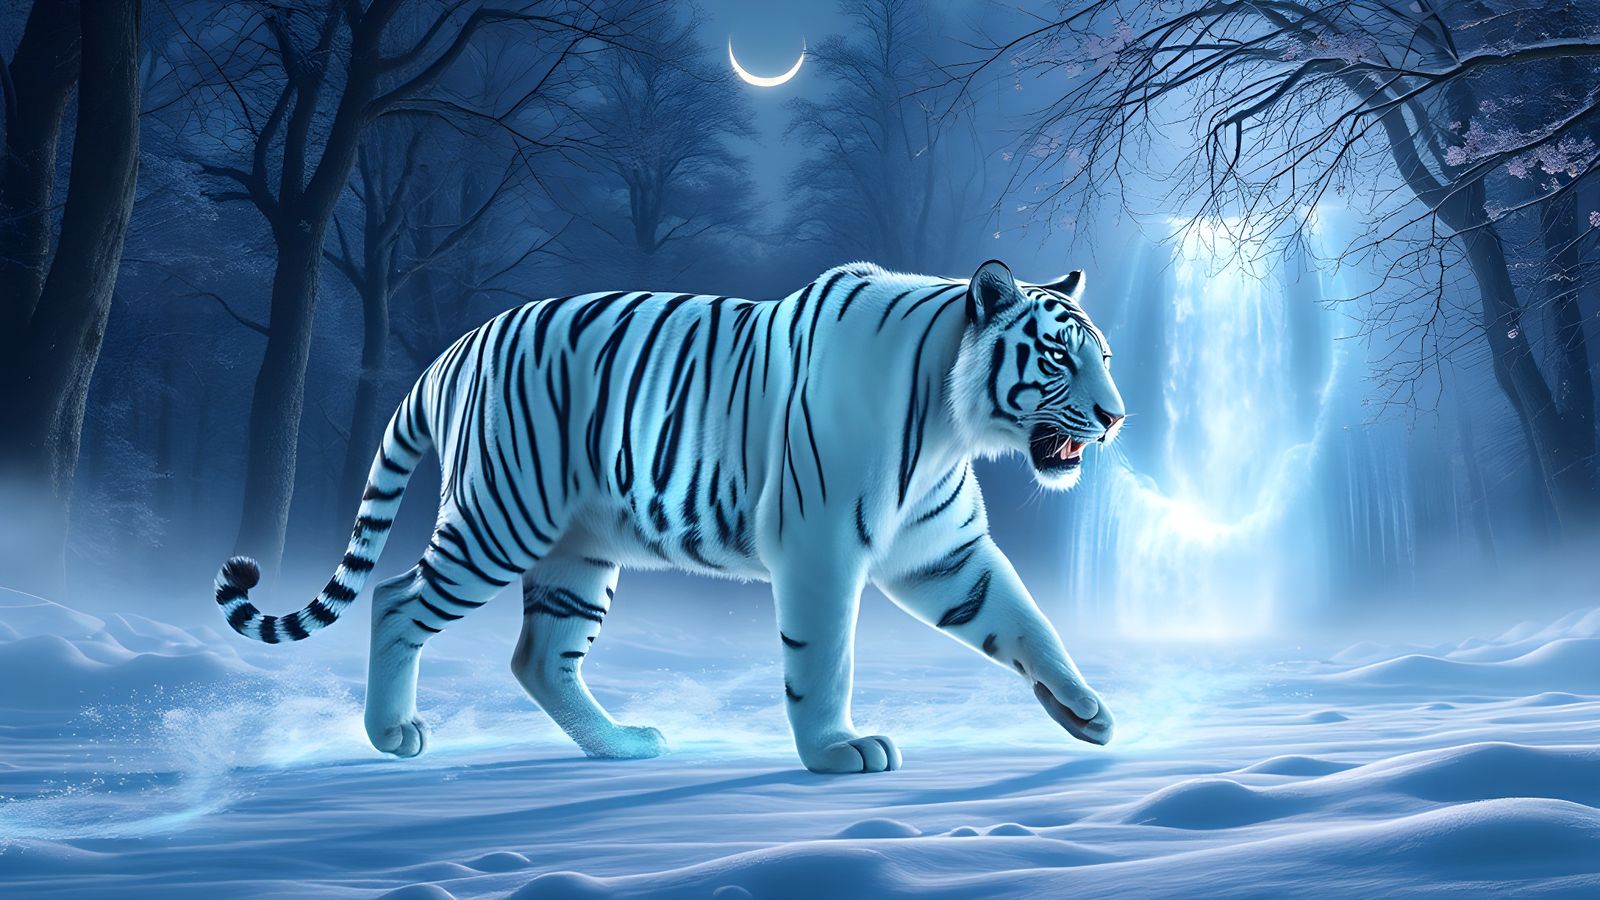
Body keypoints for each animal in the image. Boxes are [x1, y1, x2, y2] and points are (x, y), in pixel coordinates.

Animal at [212, 259, 1125, 774]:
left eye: (1106, 357)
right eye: (1057, 358)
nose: (1117, 417)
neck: (949, 422)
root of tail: (452, 349)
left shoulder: (943, 554)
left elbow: (1025, 619)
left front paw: (1086, 709)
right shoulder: (820, 548)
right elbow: (824, 659)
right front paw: (836, 752)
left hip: (578, 552)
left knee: (538, 657)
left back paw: (622, 746)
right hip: (499, 519)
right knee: (397, 597)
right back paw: (390, 732)